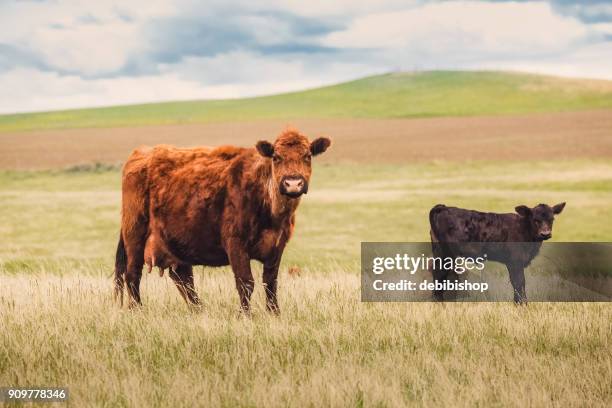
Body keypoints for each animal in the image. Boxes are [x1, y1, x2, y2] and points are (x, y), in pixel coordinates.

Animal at [116, 129, 332, 314]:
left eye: (307, 156)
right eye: (276, 157)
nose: (293, 183)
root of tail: (141, 154)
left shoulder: (277, 247)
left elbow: (270, 283)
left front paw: (274, 313)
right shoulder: (236, 244)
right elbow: (246, 283)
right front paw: (245, 315)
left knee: (183, 278)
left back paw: (199, 310)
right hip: (135, 236)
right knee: (133, 274)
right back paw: (137, 310)